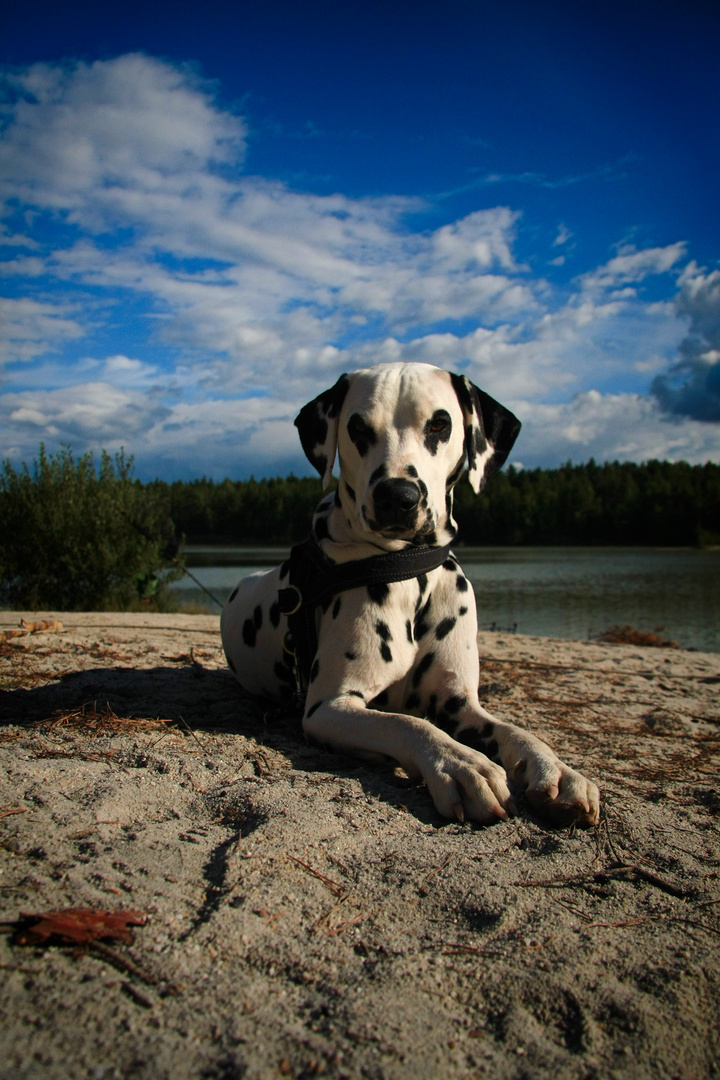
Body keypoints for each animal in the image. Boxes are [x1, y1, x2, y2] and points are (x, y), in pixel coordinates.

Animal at [222, 362, 600, 825]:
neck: (409, 569)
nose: (397, 497)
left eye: (439, 424)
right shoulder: (329, 706)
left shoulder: (460, 705)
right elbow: (407, 723)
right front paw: (461, 764)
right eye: (357, 428)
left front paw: (556, 769)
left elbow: (516, 731)